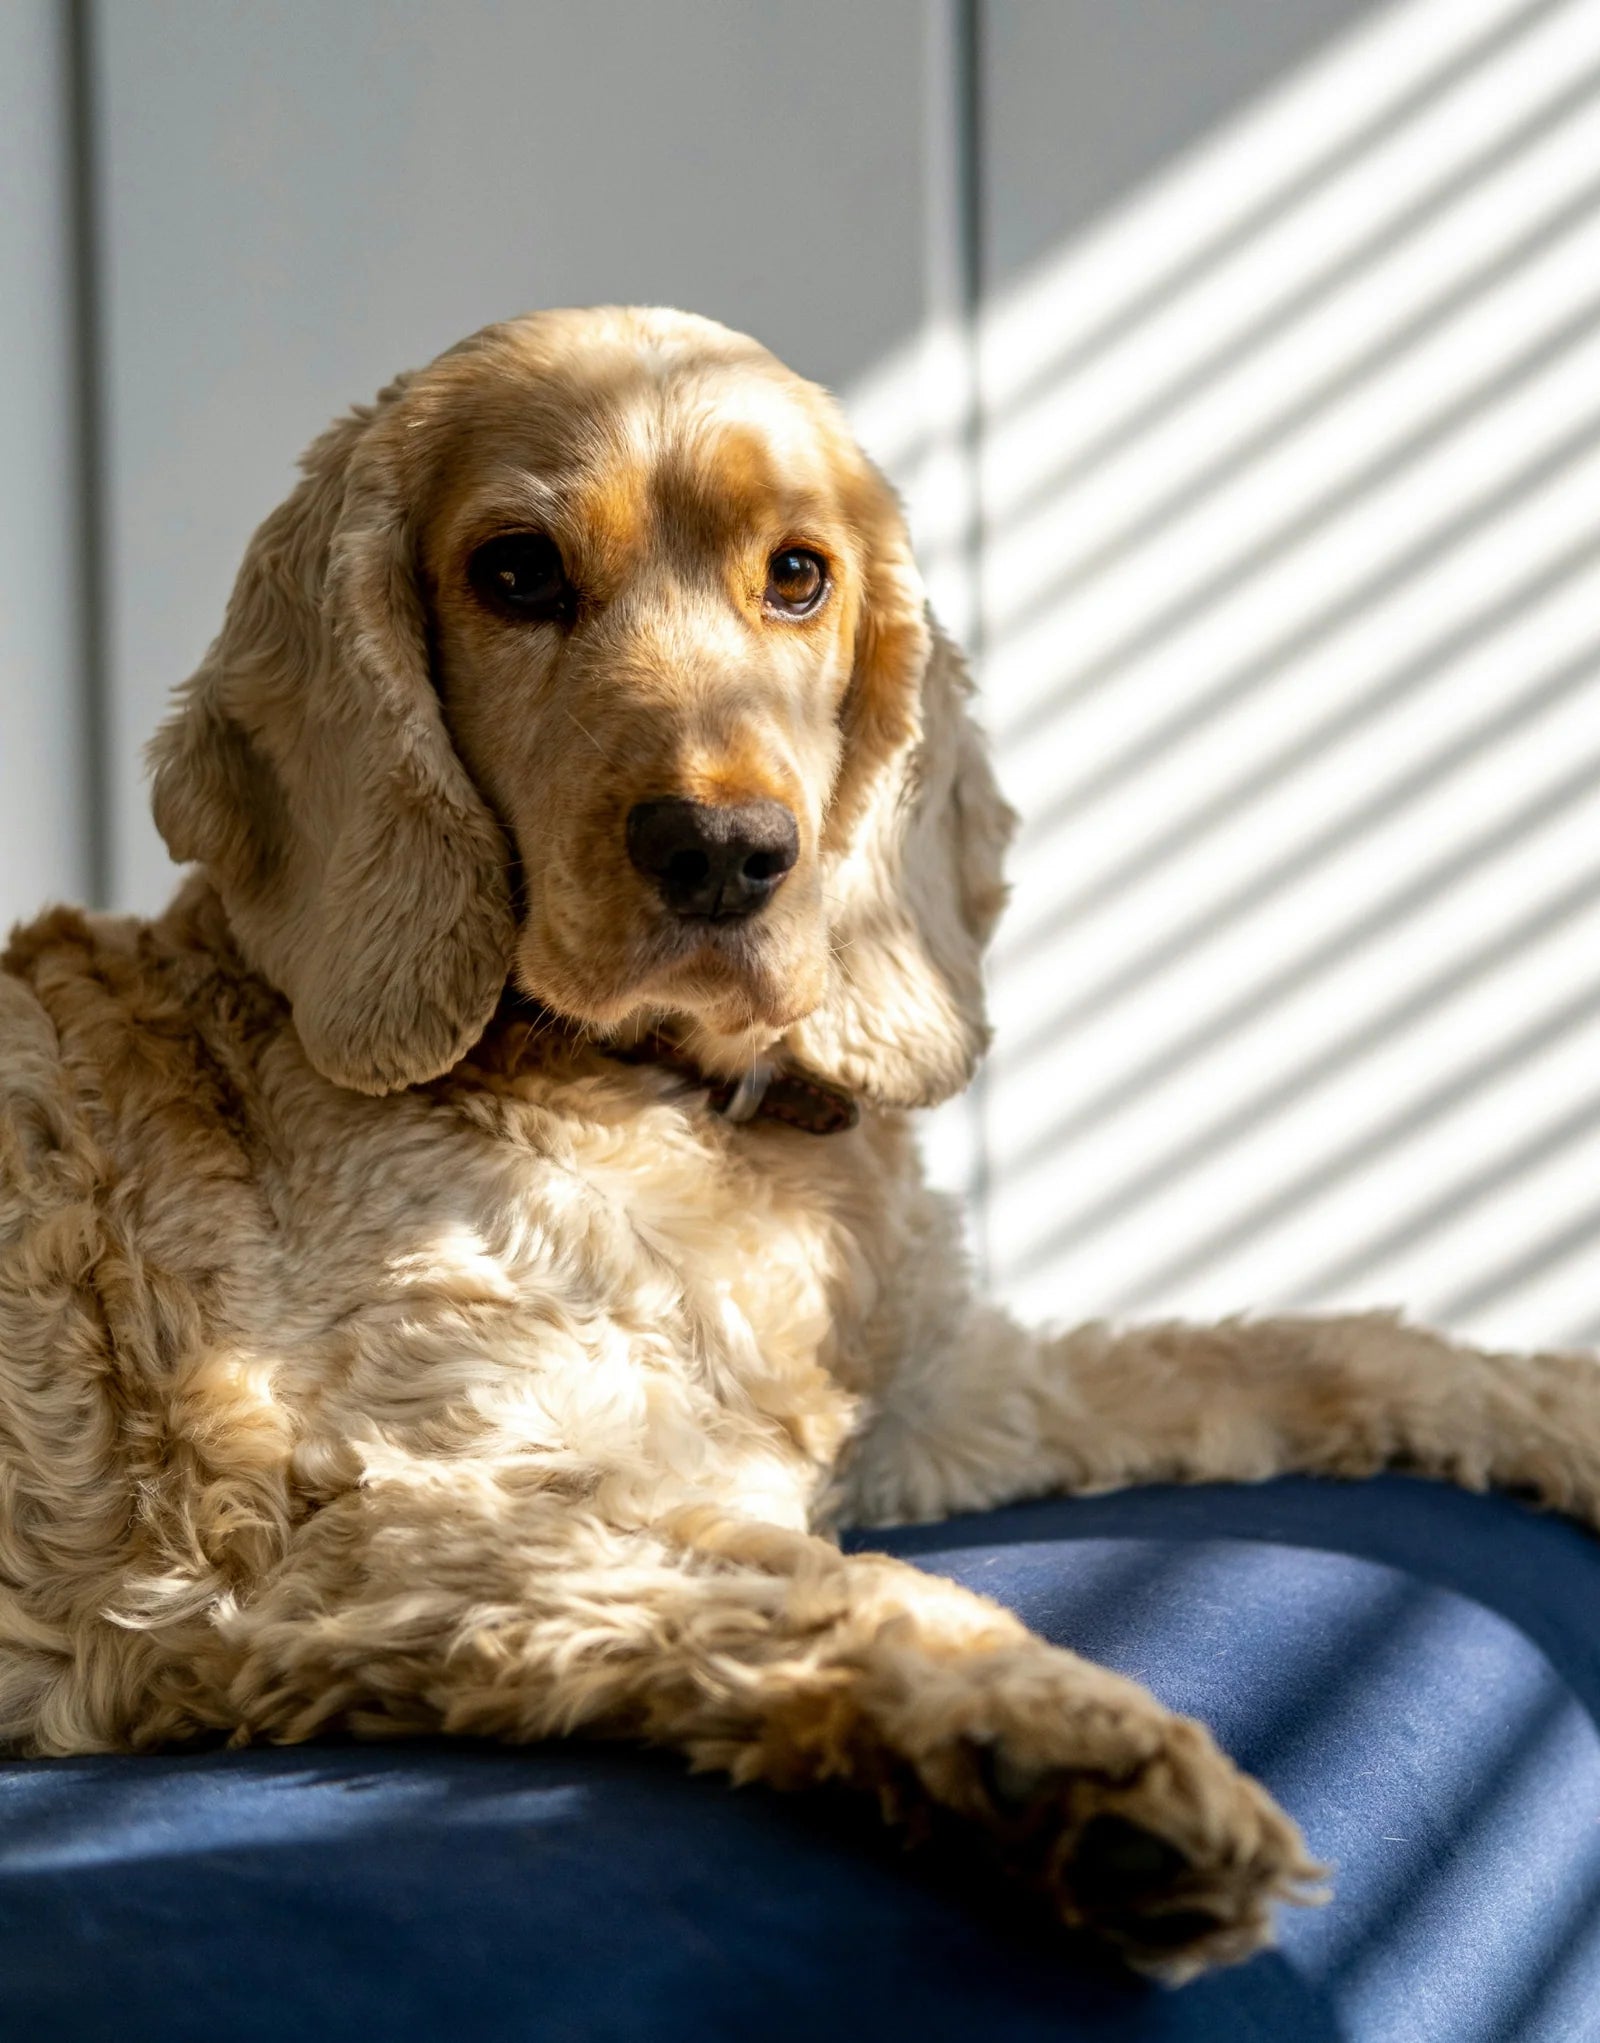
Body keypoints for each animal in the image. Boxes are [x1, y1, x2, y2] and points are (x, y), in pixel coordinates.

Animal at [3, 306, 1597, 1980]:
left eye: (798, 574)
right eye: (515, 572)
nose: (724, 855)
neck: (678, 1105)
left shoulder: (946, 1393)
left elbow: (1314, 1350)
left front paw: (1571, 1412)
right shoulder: (367, 1528)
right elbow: (839, 1587)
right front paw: (1074, 1762)